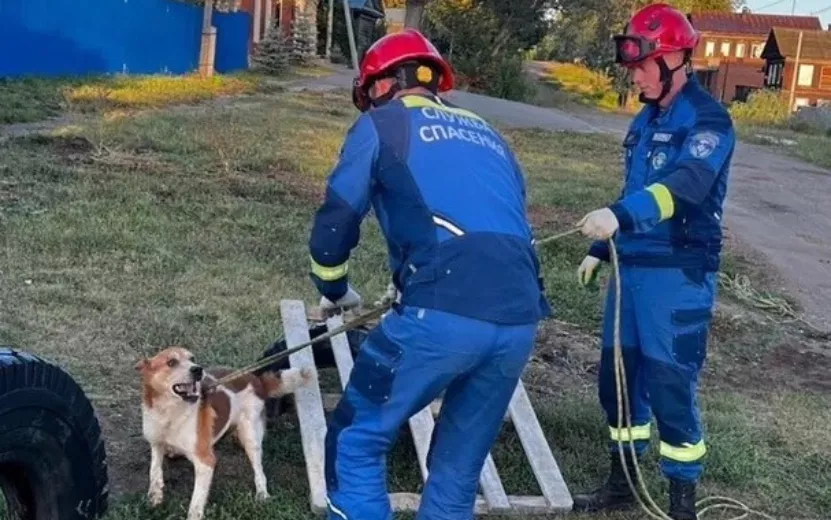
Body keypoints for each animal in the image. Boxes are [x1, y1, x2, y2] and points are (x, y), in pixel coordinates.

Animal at [136, 346, 312, 520]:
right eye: (171, 362)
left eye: (192, 359)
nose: (198, 369)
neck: (169, 414)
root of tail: (257, 380)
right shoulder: (156, 443)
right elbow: (154, 470)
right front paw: (155, 496)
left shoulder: (205, 462)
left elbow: (196, 502)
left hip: (251, 436)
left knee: (259, 471)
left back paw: (262, 494)